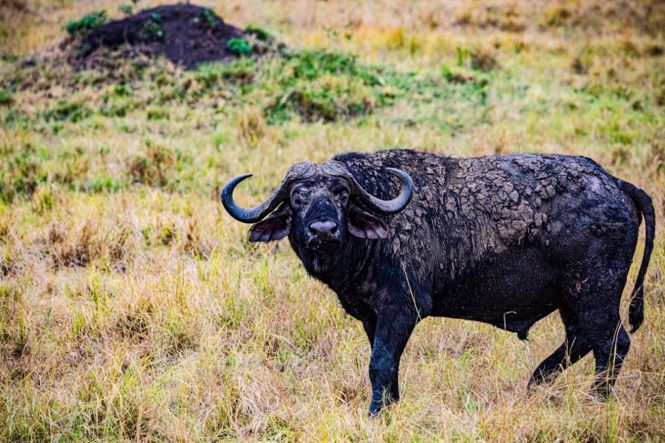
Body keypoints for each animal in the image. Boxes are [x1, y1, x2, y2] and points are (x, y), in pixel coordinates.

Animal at [221, 149, 655, 415]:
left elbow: (380, 363)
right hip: (571, 298)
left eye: (342, 194)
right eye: (297, 198)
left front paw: (376, 413)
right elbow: (387, 366)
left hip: (595, 292)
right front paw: (390, 406)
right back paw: (535, 384)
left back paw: (595, 400)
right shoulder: (371, 317)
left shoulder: (402, 308)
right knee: (579, 340)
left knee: (612, 344)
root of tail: (615, 182)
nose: (323, 230)